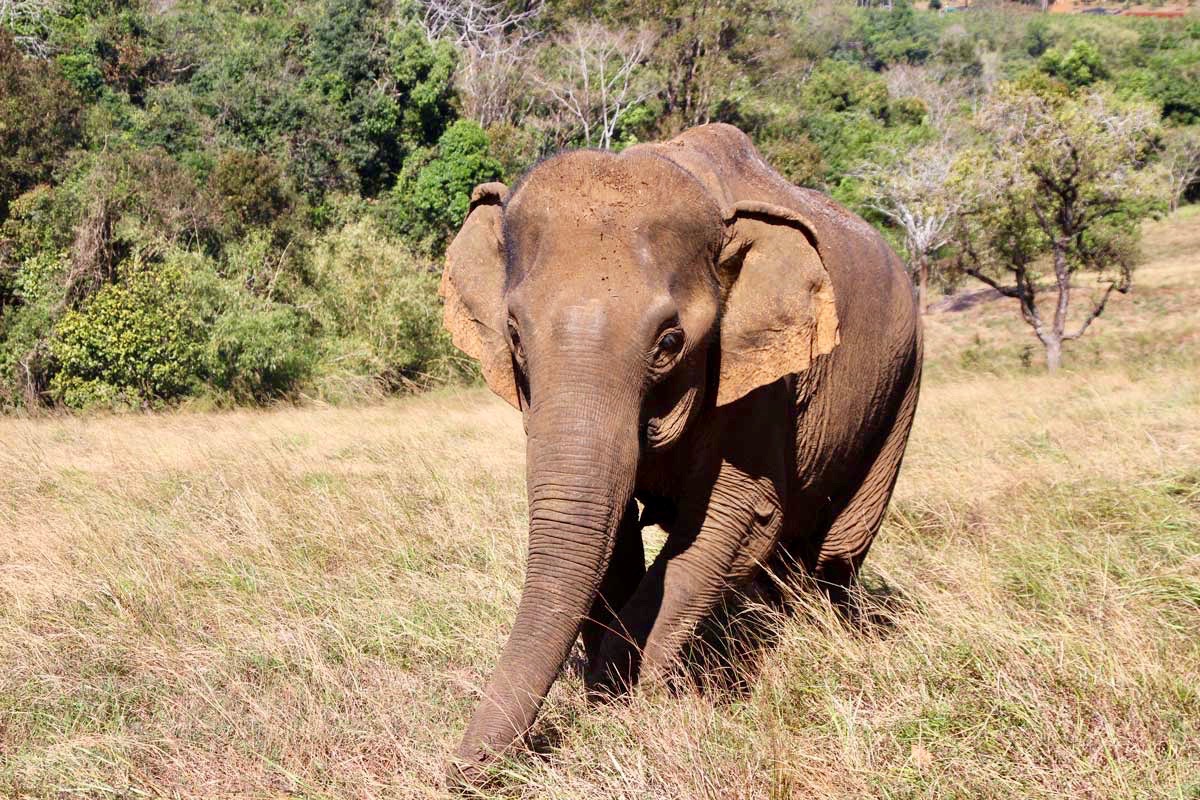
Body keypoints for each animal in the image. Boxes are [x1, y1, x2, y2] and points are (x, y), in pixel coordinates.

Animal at [439, 122, 916, 786]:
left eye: (669, 342)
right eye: (513, 333)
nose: (458, 768)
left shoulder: (762, 382)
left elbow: (731, 523)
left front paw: (634, 698)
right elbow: (605, 533)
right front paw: (611, 691)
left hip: (902, 388)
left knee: (835, 554)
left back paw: (825, 638)